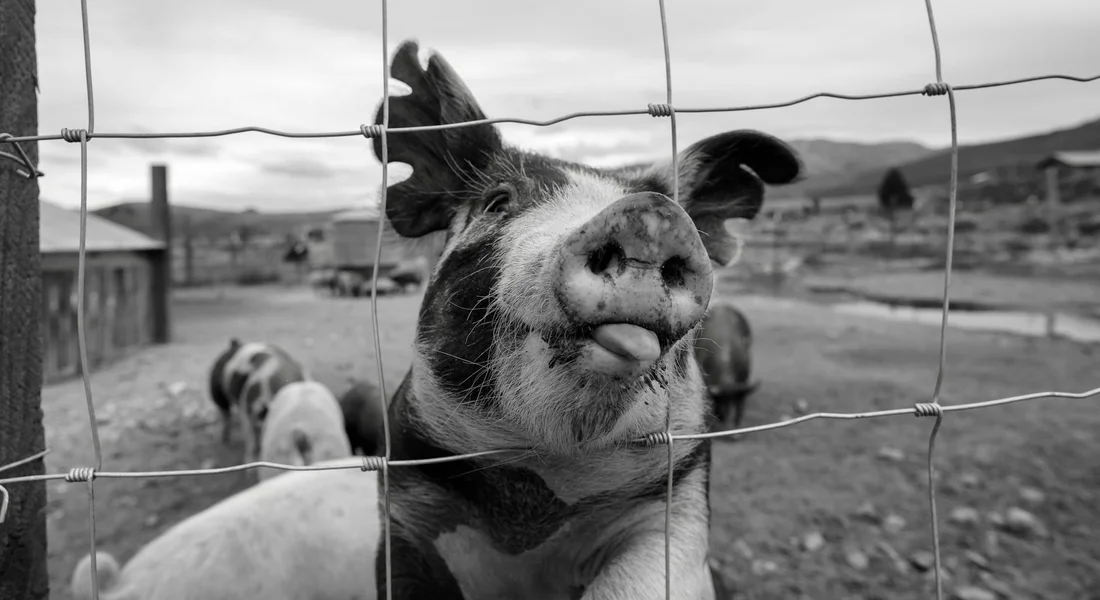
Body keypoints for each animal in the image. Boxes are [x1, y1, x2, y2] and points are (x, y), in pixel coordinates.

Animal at [207, 338, 310, 474]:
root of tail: (236, 343)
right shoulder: (246, 409)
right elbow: (252, 442)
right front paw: (250, 472)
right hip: (216, 391)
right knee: (225, 413)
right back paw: (223, 440)